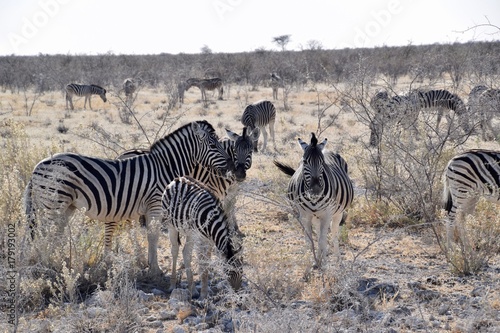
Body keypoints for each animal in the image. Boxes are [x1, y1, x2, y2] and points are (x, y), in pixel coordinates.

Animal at [23, 120, 234, 274]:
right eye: (213, 144)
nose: (232, 167)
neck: (165, 167)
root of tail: (36, 167)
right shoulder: (155, 204)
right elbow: (153, 235)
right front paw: (155, 269)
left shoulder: (148, 208)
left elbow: (149, 235)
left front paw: (149, 264)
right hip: (54, 203)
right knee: (45, 235)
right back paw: (48, 265)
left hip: (66, 207)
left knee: (54, 235)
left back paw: (59, 263)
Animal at [116, 126, 258, 235]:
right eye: (234, 150)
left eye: (250, 151)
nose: (239, 174)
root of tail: (121, 155)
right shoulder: (213, 190)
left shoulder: (233, 192)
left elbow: (231, 209)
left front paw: (235, 230)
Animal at [274, 132, 356, 268]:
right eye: (304, 161)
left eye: (322, 162)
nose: (316, 190)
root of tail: (327, 149)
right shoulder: (305, 215)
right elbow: (310, 240)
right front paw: (312, 262)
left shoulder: (327, 214)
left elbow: (323, 240)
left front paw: (323, 264)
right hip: (316, 216)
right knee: (318, 233)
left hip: (337, 213)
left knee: (333, 234)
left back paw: (338, 261)